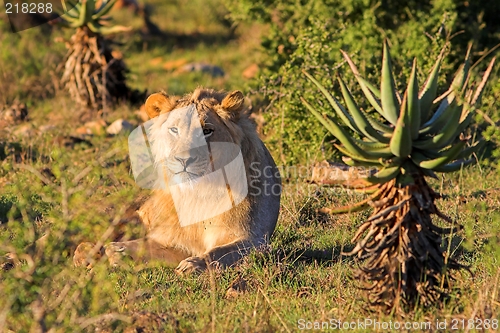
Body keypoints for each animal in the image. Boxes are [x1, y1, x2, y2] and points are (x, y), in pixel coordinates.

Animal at [73, 87, 282, 272]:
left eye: (207, 130)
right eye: (174, 130)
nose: (184, 159)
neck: (200, 192)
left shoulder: (254, 238)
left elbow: (219, 252)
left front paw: (193, 264)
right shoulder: (172, 239)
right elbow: (142, 246)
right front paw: (117, 251)